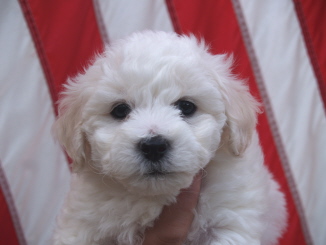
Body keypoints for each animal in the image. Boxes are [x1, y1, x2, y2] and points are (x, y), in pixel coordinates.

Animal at [53, 31, 288, 244]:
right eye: (120, 110)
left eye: (186, 106)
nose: (154, 146)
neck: (156, 197)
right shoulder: (83, 223)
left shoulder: (230, 217)